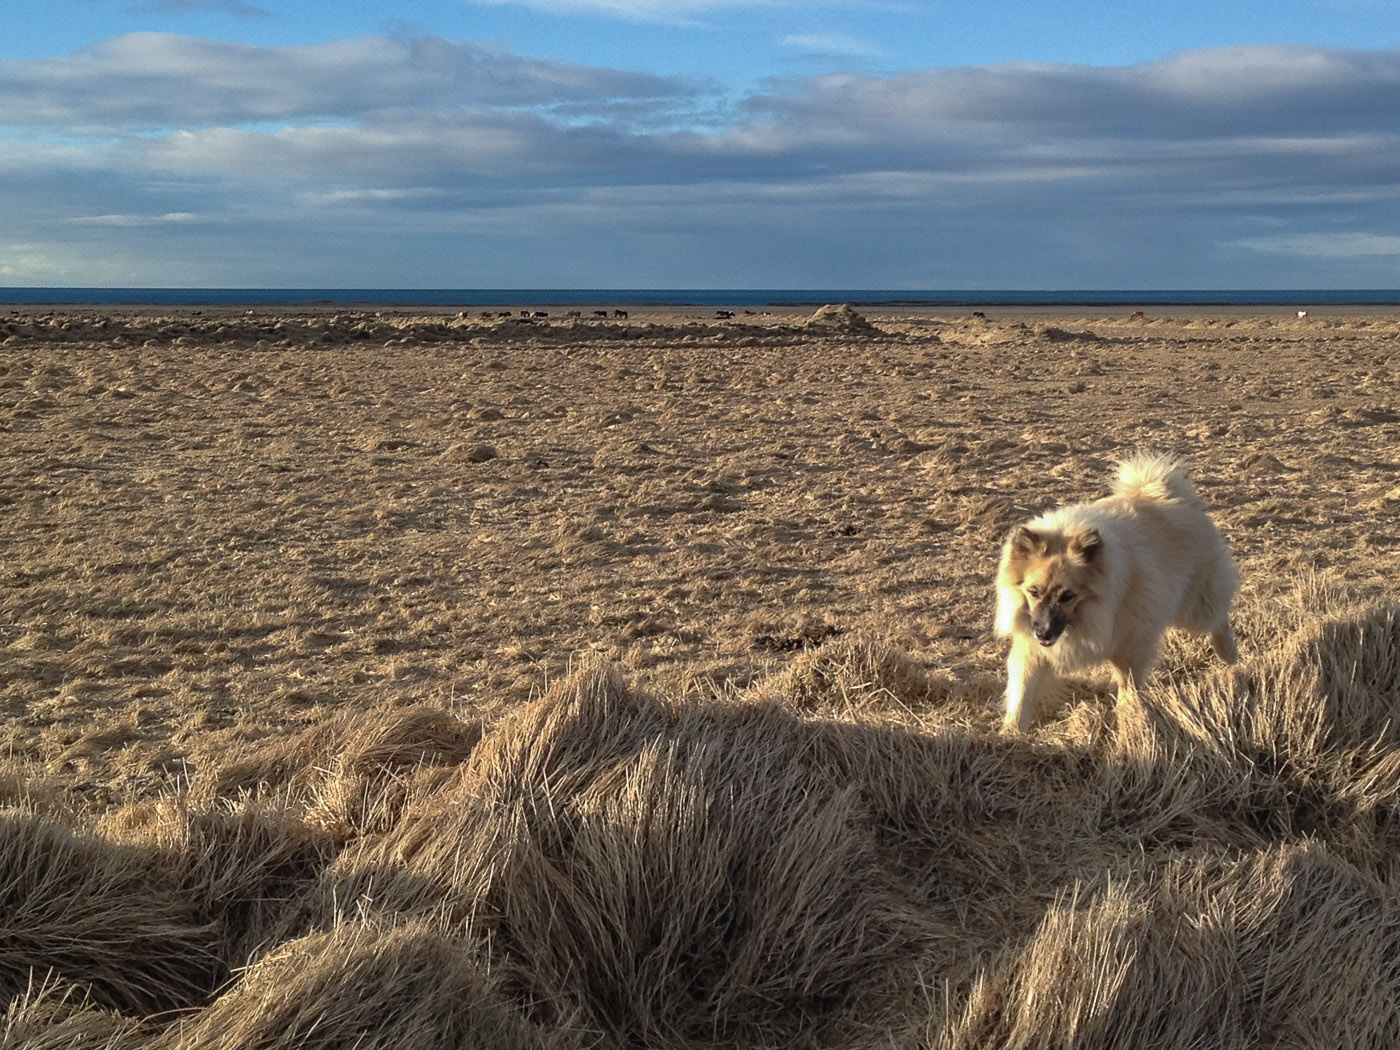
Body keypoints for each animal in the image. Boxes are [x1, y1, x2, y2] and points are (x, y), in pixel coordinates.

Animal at [996, 450, 1237, 733]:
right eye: (1033, 592)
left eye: (1067, 596)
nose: (1042, 632)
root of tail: (1166, 492)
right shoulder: (1032, 649)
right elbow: (1022, 691)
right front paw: (1011, 733)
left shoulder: (1130, 644)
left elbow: (1127, 684)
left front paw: (1129, 716)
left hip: (1194, 606)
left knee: (1218, 618)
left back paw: (1229, 654)